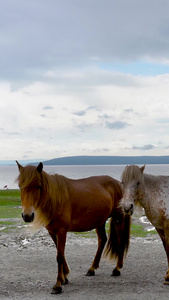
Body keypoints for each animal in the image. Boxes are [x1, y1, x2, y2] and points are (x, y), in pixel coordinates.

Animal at [16, 162, 131, 292]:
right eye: (20, 186)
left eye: (38, 186)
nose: (27, 216)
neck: (56, 200)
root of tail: (117, 183)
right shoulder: (52, 232)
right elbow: (60, 253)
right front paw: (64, 277)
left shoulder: (61, 231)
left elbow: (60, 256)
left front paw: (58, 284)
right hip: (100, 221)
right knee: (102, 240)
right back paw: (92, 269)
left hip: (118, 217)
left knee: (121, 240)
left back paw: (117, 269)